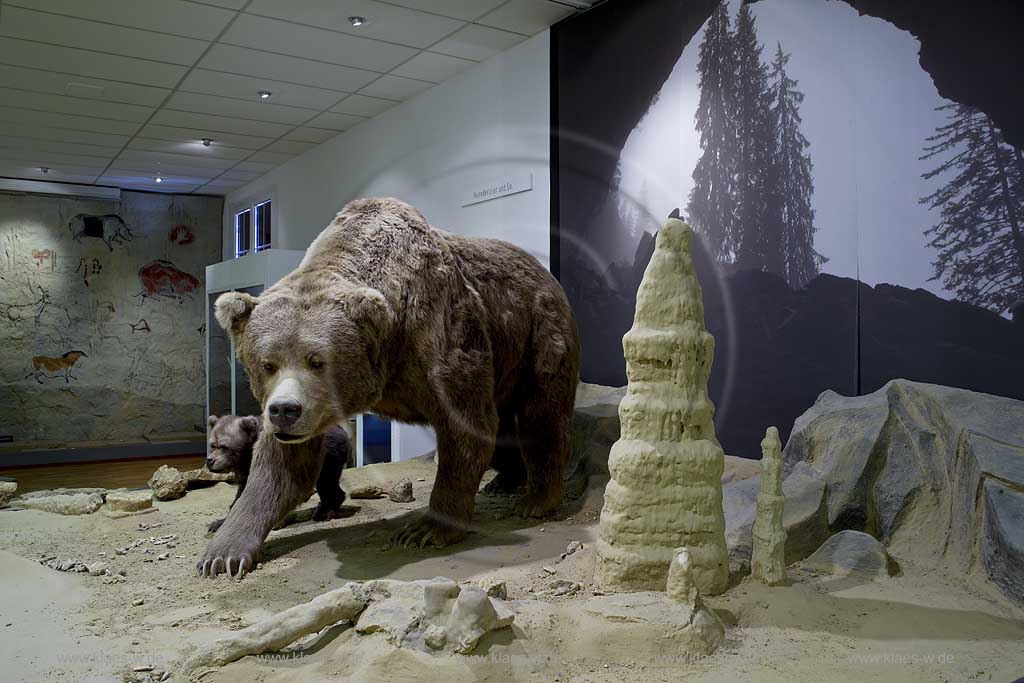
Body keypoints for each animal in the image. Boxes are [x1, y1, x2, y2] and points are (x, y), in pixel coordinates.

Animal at [197, 196, 577, 577]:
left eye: (317, 360)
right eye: (268, 364)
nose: (284, 410)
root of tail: (546, 273)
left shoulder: (443, 338)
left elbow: (466, 429)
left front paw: (425, 528)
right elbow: (282, 465)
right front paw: (223, 552)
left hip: (537, 336)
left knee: (541, 416)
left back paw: (536, 500)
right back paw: (505, 481)